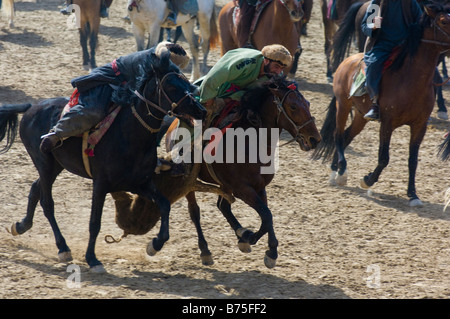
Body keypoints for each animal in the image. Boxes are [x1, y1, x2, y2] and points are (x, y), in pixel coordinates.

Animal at [0, 51, 206, 274]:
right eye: (171, 86)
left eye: (185, 82)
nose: (201, 110)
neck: (129, 135)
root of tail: (32, 107)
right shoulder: (101, 185)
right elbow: (94, 222)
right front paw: (92, 259)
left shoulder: (139, 183)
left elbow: (164, 204)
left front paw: (155, 244)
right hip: (44, 163)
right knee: (47, 203)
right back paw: (62, 247)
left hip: (56, 166)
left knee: (35, 188)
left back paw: (21, 226)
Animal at [312, 1, 450, 208]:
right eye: (443, 21)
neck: (411, 79)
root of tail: (348, 61)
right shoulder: (387, 123)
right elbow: (384, 158)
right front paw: (367, 180)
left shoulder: (420, 125)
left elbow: (413, 161)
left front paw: (413, 194)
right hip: (343, 105)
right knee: (338, 135)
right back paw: (341, 172)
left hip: (360, 116)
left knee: (347, 136)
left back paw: (335, 170)